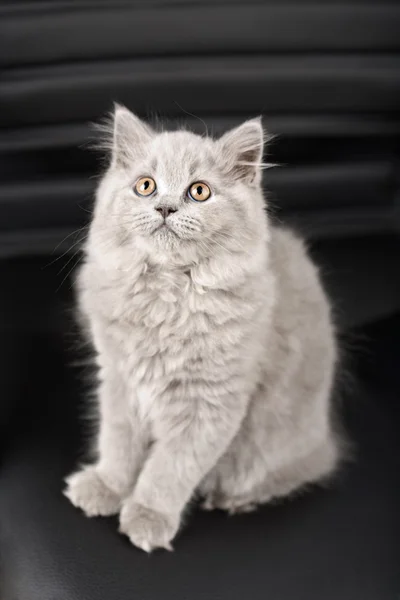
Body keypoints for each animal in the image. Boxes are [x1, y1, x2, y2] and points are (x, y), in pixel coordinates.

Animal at [64, 106, 340, 552]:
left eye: (198, 192)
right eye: (145, 186)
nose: (165, 208)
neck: (166, 295)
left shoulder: (209, 403)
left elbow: (169, 468)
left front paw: (148, 517)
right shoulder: (120, 380)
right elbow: (118, 442)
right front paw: (107, 486)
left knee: (293, 470)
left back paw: (235, 499)